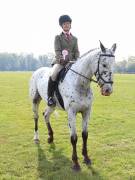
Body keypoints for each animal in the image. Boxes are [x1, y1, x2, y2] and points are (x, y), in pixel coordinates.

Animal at [29, 41, 116, 171]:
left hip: (52, 105)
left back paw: (51, 137)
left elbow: (85, 135)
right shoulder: (71, 113)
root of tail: (38, 70)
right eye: (104, 64)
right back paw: (36, 138)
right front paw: (75, 163)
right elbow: (74, 138)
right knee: (36, 117)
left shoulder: (86, 112)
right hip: (35, 100)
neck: (79, 83)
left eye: (113, 64)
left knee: (45, 115)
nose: (107, 90)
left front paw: (86, 157)